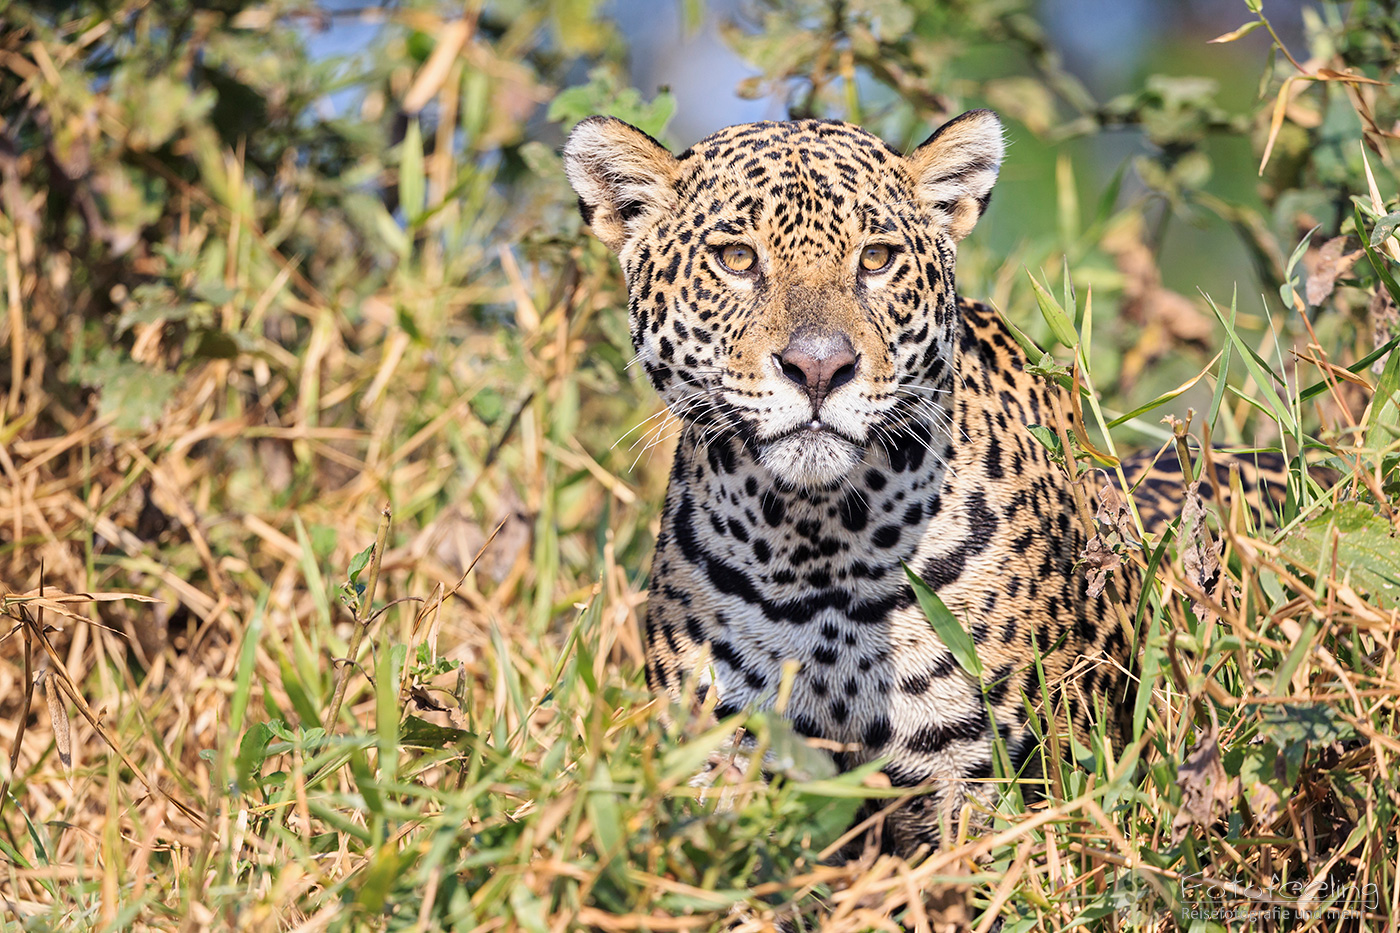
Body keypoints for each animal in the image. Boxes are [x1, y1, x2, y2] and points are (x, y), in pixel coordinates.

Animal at [562, 110, 1291, 858]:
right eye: (736, 258)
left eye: (876, 258)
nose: (818, 368)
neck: (815, 544)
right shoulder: (718, 756)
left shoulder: (996, 777)